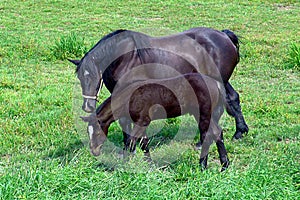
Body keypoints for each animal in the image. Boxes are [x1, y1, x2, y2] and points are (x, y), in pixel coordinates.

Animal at [69, 27, 248, 148]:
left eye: (92, 76)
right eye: (80, 77)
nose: (87, 106)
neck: (125, 57)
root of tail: (224, 35)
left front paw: (129, 145)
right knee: (232, 98)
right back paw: (239, 131)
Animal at [81, 73, 229, 172]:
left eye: (97, 133)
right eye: (88, 132)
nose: (94, 151)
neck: (130, 97)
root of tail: (216, 83)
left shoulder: (142, 121)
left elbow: (130, 141)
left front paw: (123, 165)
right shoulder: (142, 123)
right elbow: (144, 143)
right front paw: (150, 165)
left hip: (203, 114)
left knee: (207, 135)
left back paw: (203, 166)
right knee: (217, 133)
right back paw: (224, 166)